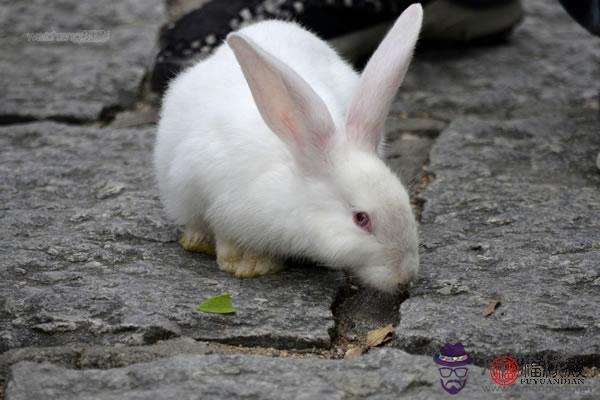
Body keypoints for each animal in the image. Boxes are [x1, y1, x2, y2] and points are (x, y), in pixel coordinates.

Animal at [157, 2, 424, 290]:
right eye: (361, 219)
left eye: (406, 202)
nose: (405, 277)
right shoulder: (206, 190)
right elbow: (223, 236)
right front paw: (241, 263)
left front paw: (258, 263)